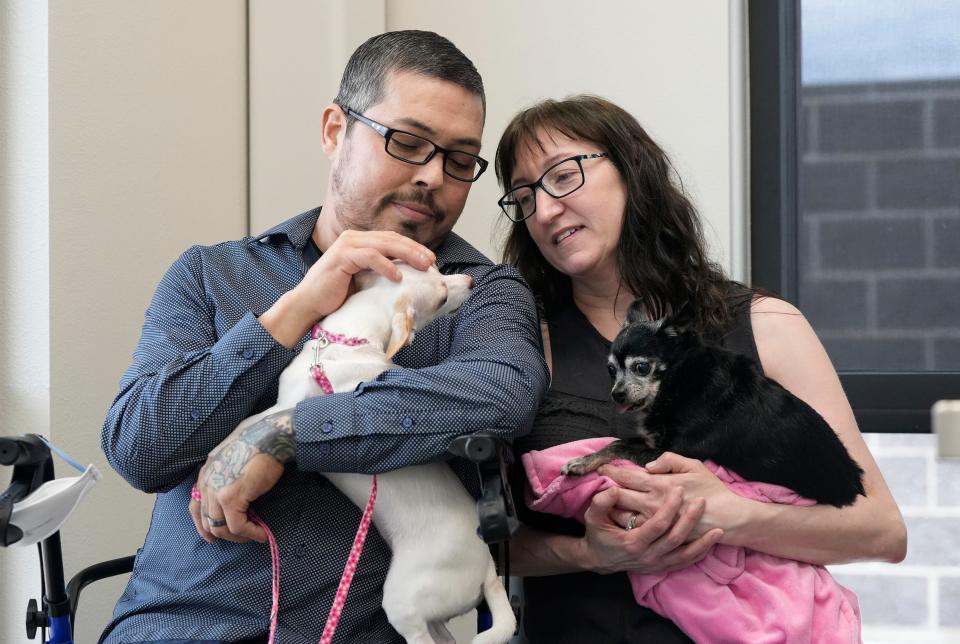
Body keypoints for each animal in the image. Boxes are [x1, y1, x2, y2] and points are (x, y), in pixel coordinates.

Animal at [235, 262, 512, 644]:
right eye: (439, 284)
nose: (471, 280)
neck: (344, 345)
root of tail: (488, 566)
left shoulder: (284, 409)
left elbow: (243, 429)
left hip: (403, 601)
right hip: (432, 610)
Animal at [564, 302, 872, 508]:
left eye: (641, 367)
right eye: (611, 370)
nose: (617, 394)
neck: (680, 377)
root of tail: (855, 483)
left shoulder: (670, 455)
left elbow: (620, 444)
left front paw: (581, 462)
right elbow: (622, 441)